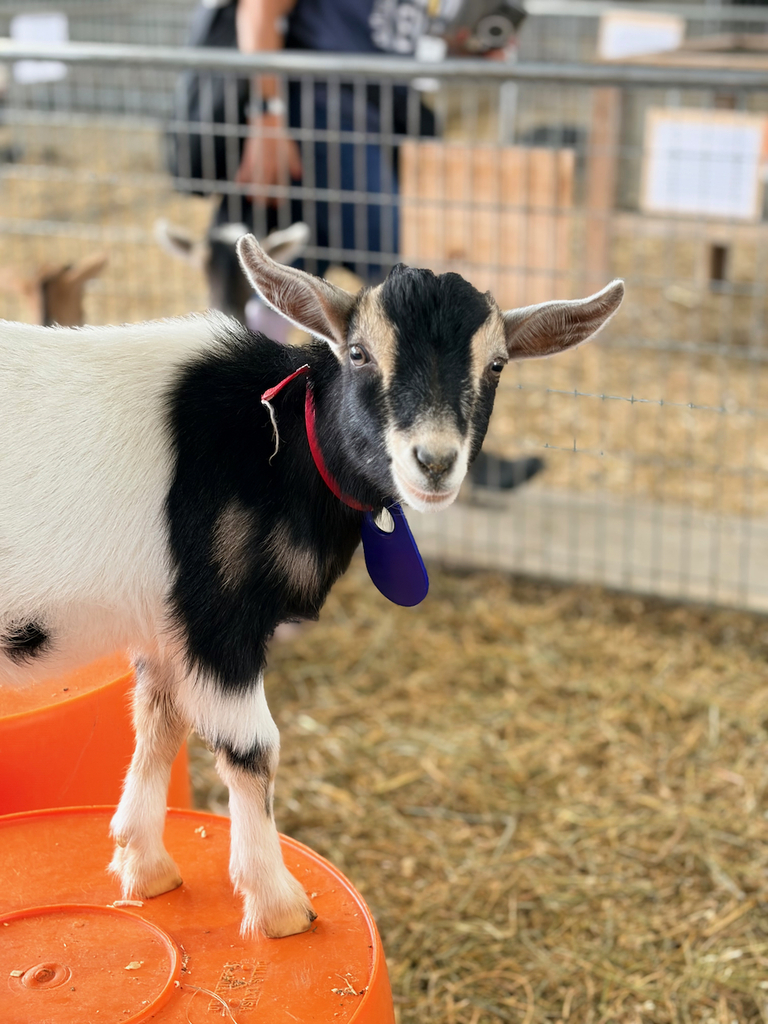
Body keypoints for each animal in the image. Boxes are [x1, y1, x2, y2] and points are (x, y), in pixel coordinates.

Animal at [0, 237, 624, 937]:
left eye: (495, 364)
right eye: (358, 353)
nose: (434, 462)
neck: (273, 438)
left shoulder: (166, 625)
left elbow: (159, 720)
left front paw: (145, 864)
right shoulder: (219, 618)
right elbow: (253, 749)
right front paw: (279, 907)